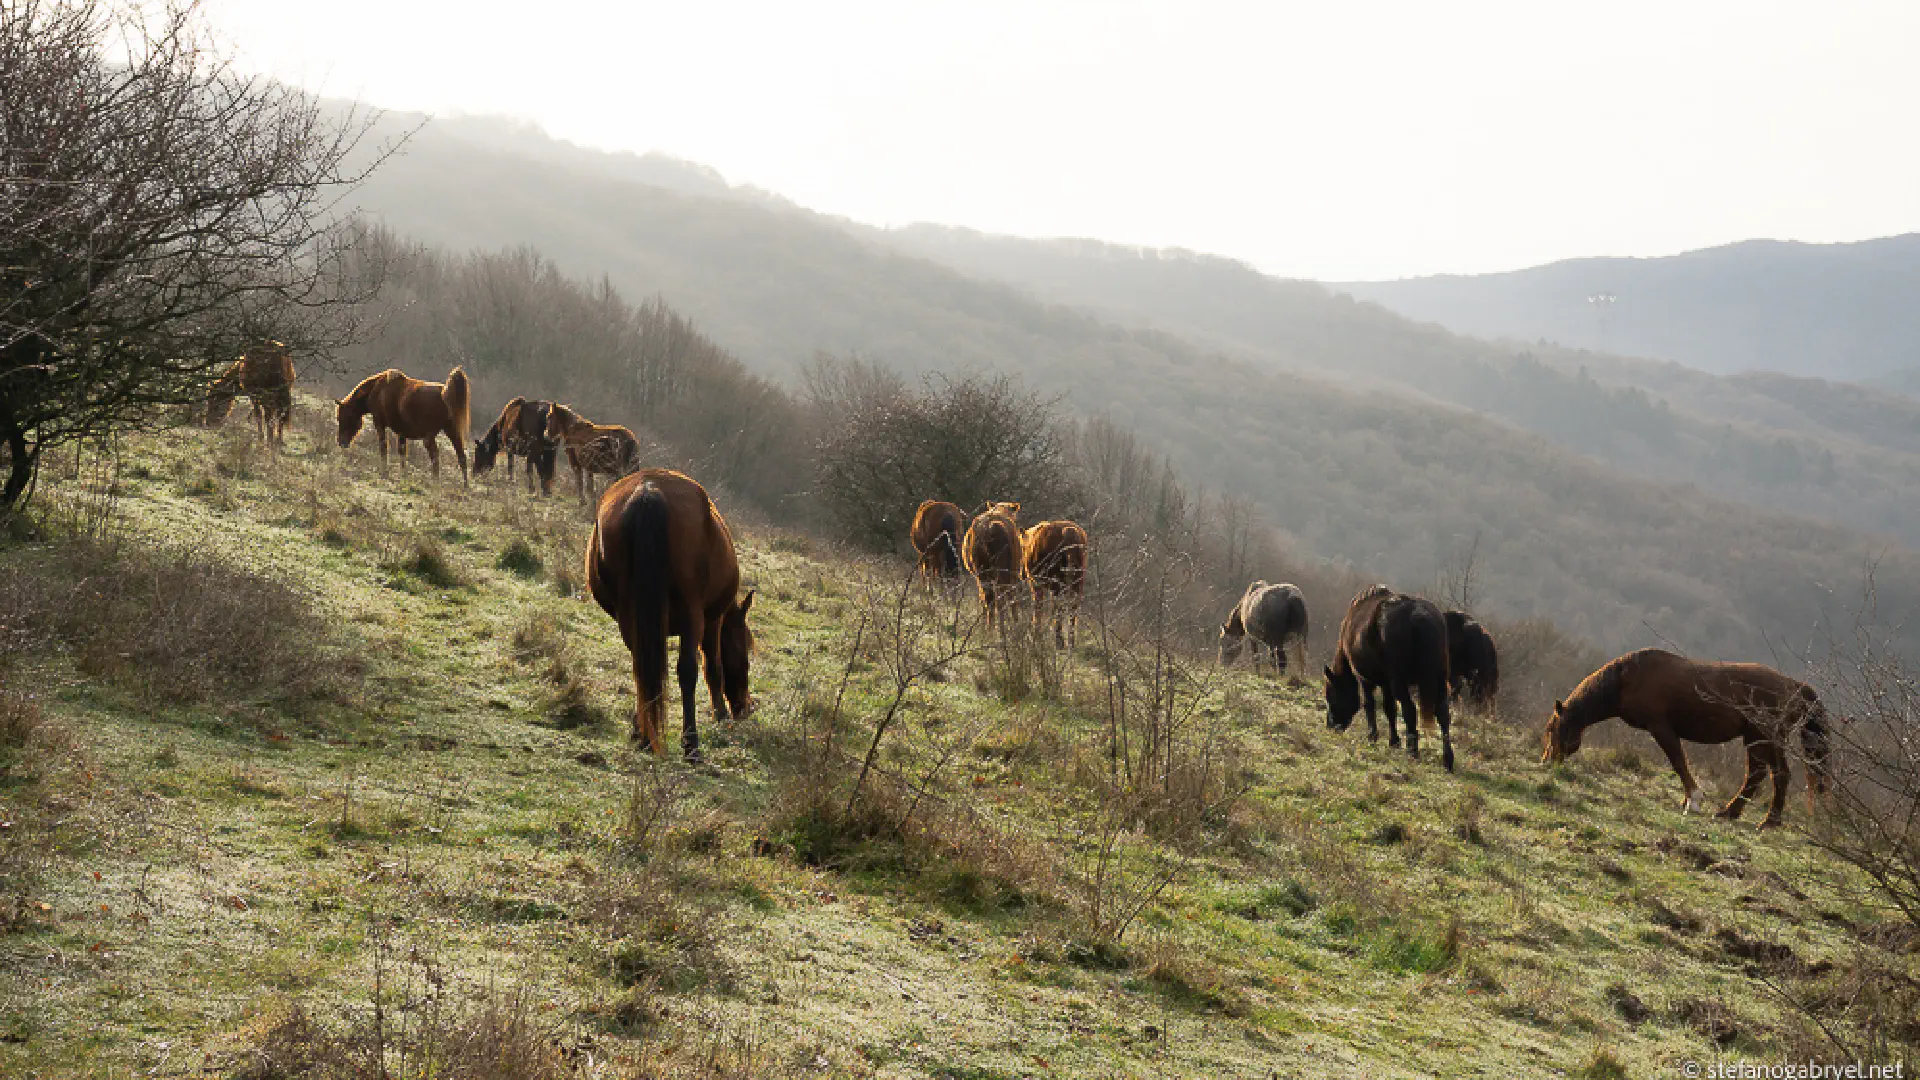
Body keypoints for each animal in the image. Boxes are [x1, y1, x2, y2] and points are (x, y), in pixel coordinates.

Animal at [335, 367, 471, 484]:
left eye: (343, 417)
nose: (341, 442)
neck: (377, 390)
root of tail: (445, 392)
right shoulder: (401, 431)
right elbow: (402, 452)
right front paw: (403, 475)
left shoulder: (379, 422)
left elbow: (383, 447)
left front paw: (384, 472)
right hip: (452, 432)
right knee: (462, 457)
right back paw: (465, 487)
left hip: (429, 438)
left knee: (435, 457)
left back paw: (435, 482)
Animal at [585, 468, 754, 761]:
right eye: (743, 654)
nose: (742, 708)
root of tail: (648, 490)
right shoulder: (712, 621)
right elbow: (713, 667)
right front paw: (720, 715)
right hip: (692, 616)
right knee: (687, 671)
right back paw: (691, 744)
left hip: (631, 615)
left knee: (642, 669)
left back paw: (645, 737)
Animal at [1023, 520, 1089, 648]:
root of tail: (1069, 530)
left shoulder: (1035, 582)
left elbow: (1038, 607)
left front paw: (1036, 637)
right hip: (1078, 580)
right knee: (1073, 606)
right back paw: (1070, 642)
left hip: (1056, 581)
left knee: (1058, 607)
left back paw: (1059, 642)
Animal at [1324, 584, 1454, 771]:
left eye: (1330, 696)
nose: (1331, 726)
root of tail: (1420, 616)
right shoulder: (1386, 683)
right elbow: (1389, 708)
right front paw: (1394, 741)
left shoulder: (1365, 679)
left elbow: (1370, 705)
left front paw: (1373, 736)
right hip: (1440, 680)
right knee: (1443, 713)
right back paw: (1447, 759)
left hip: (1399, 682)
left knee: (1409, 710)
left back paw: (1412, 751)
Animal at [1542, 649, 1835, 828]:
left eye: (1552, 729)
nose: (1546, 761)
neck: (1628, 679)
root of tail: (1793, 685)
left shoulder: (1661, 727)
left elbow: (1678, 761)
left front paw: (1692, 799)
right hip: (1763, 738)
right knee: (1770, 773)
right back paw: (1741, 815)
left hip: (1762, 736)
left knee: (1766, 773)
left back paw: (1759, 818)